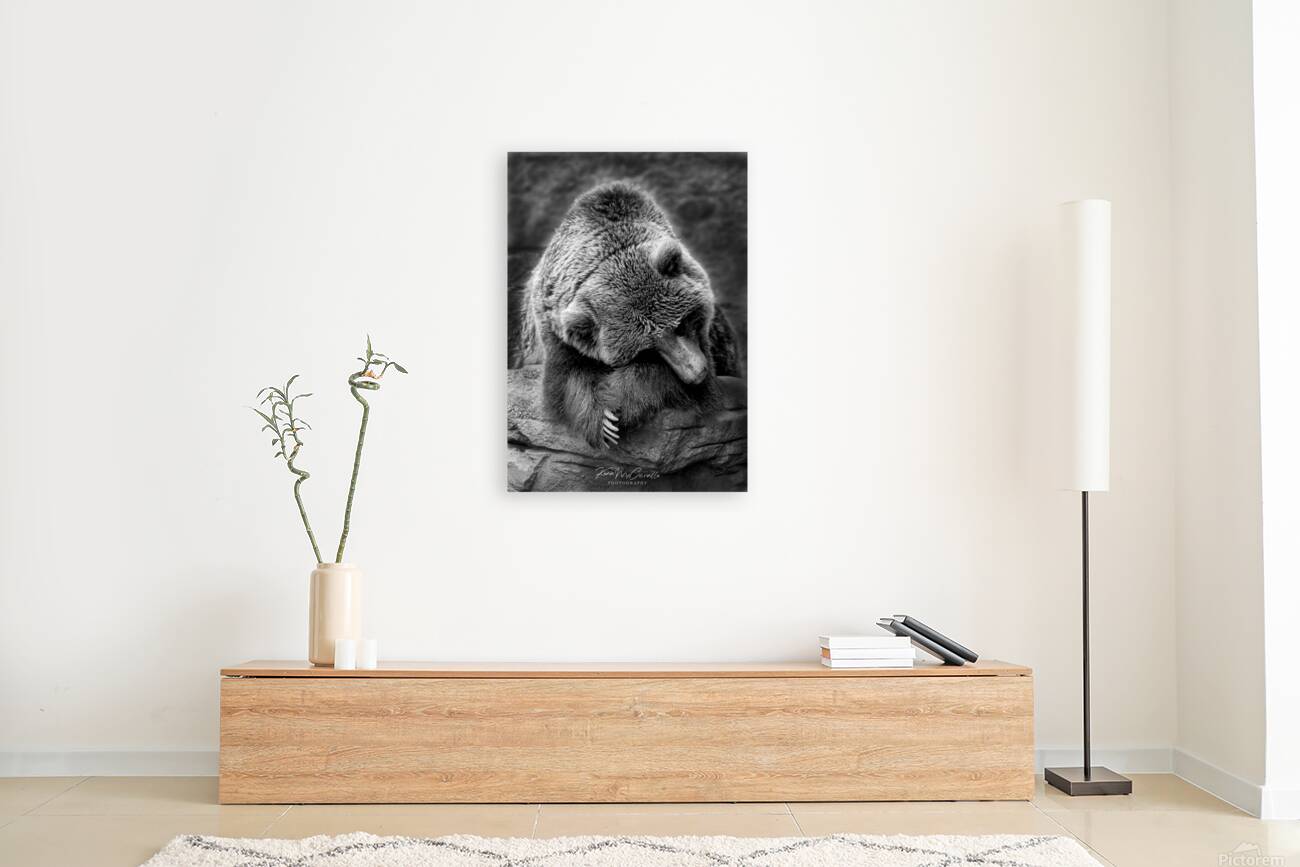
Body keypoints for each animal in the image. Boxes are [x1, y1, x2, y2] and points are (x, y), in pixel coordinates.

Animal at [520, 181, 742, 449]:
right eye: (646, 350)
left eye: (680, 324)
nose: (696, 374)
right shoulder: (557, 329)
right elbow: (566, 378)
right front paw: (604, 421)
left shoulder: (703, 342)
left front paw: (618, 403)